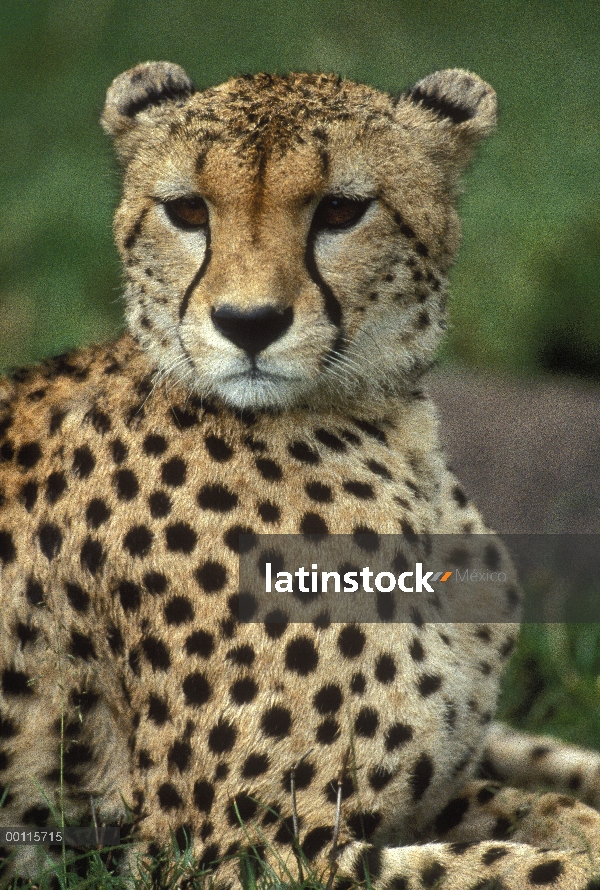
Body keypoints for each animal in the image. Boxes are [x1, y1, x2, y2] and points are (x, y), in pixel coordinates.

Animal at [1, 59, 600, 884]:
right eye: (187, 210)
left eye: (342, 210)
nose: (248, 323)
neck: (391, 434)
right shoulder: (231, 849)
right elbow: (523, 864)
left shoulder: (426, 790)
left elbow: (546, 818)